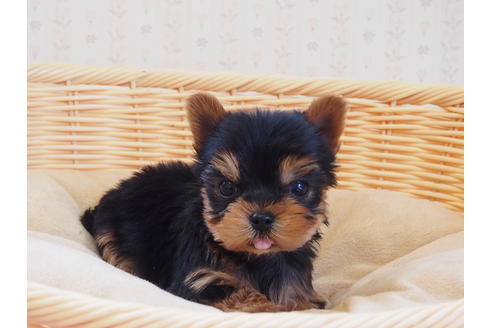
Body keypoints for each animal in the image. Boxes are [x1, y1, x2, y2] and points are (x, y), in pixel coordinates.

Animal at [81, 93, 346, 312]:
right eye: (226, 187)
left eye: (299, 188)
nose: (261, 218)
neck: (257, 258)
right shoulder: (200, 279)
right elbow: (245, 295)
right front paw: (271, 308)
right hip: (111, 235)